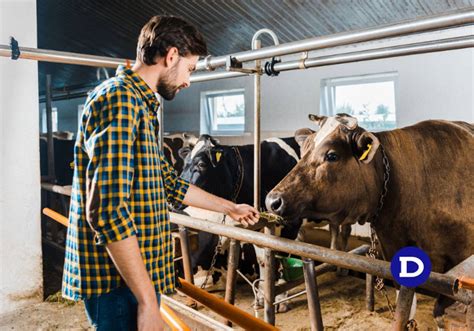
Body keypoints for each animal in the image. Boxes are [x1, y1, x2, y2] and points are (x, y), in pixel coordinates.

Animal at [266, 113, 474, 326]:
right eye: (303, 151)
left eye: (332, 155)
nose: (273, 200)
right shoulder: (393, 249)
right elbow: (406, 311)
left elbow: (440, 312)